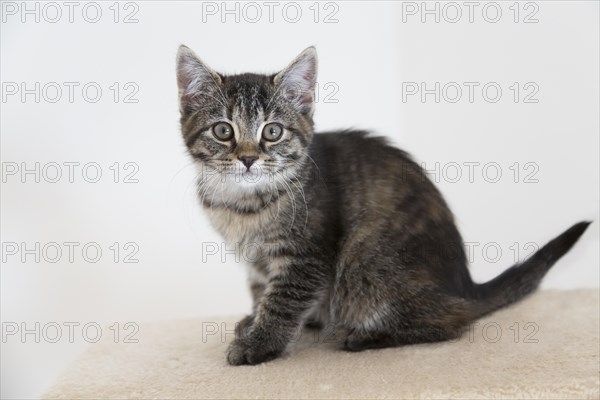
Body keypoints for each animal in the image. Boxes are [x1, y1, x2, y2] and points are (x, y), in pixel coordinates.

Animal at [176, 44, 588, 366]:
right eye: (223, 130)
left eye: (272, 131)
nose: (247, 159)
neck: (242, 205)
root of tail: (464, 287)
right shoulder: (256, 260)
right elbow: (262, 290)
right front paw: (254, 321)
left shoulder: (307, 255)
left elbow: (284, 300)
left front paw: (260, 344)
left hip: (367, 258)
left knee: (452, 323)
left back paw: (366, 336)